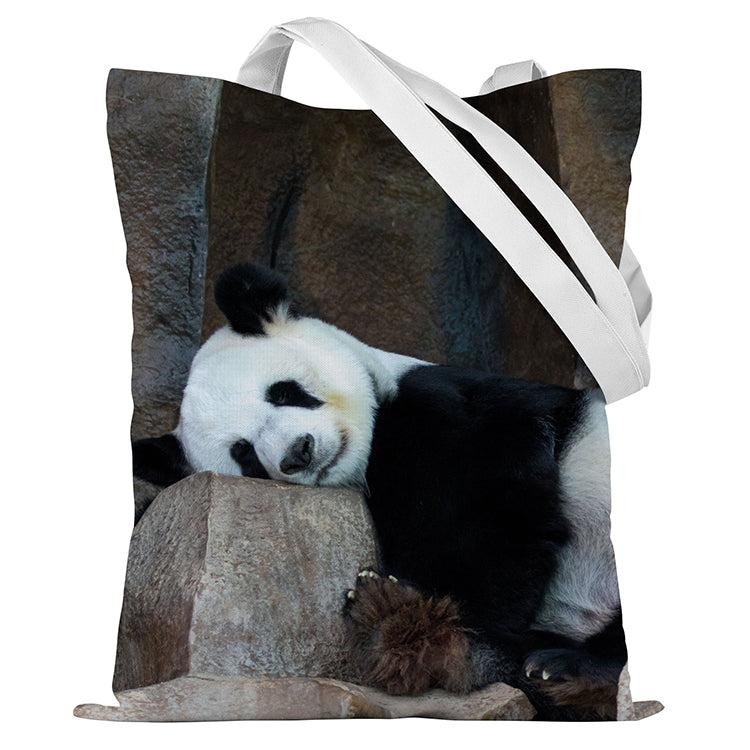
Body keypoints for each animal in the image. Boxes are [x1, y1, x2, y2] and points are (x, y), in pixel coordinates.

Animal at [133, 263, 626, 720]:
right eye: (244, 453)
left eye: (283, 392)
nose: (298, 452)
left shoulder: (456, 408)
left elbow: (498, 513)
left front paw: (441, 617)